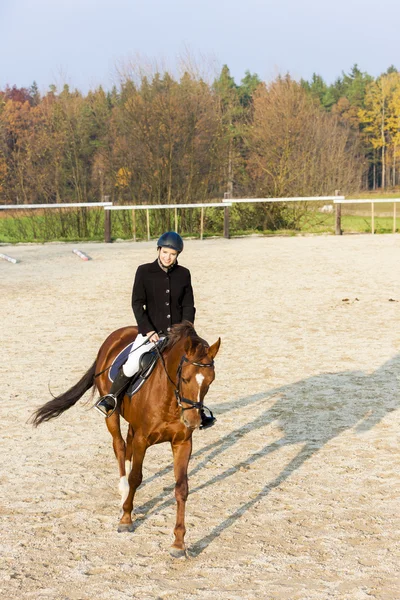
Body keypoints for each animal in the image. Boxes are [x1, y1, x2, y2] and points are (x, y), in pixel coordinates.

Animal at [32, 324, 220, 556]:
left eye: (210, 381)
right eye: (184, 378)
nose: (193, 421)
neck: (170, 399)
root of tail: (119, 332)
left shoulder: (182, 443)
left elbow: (181, 487)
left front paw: (178, 542)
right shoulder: (142, 439)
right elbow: (136, 478)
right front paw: (126, 520)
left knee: (127, 448)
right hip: (111, 414)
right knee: (120, 447)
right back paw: (123, 492)